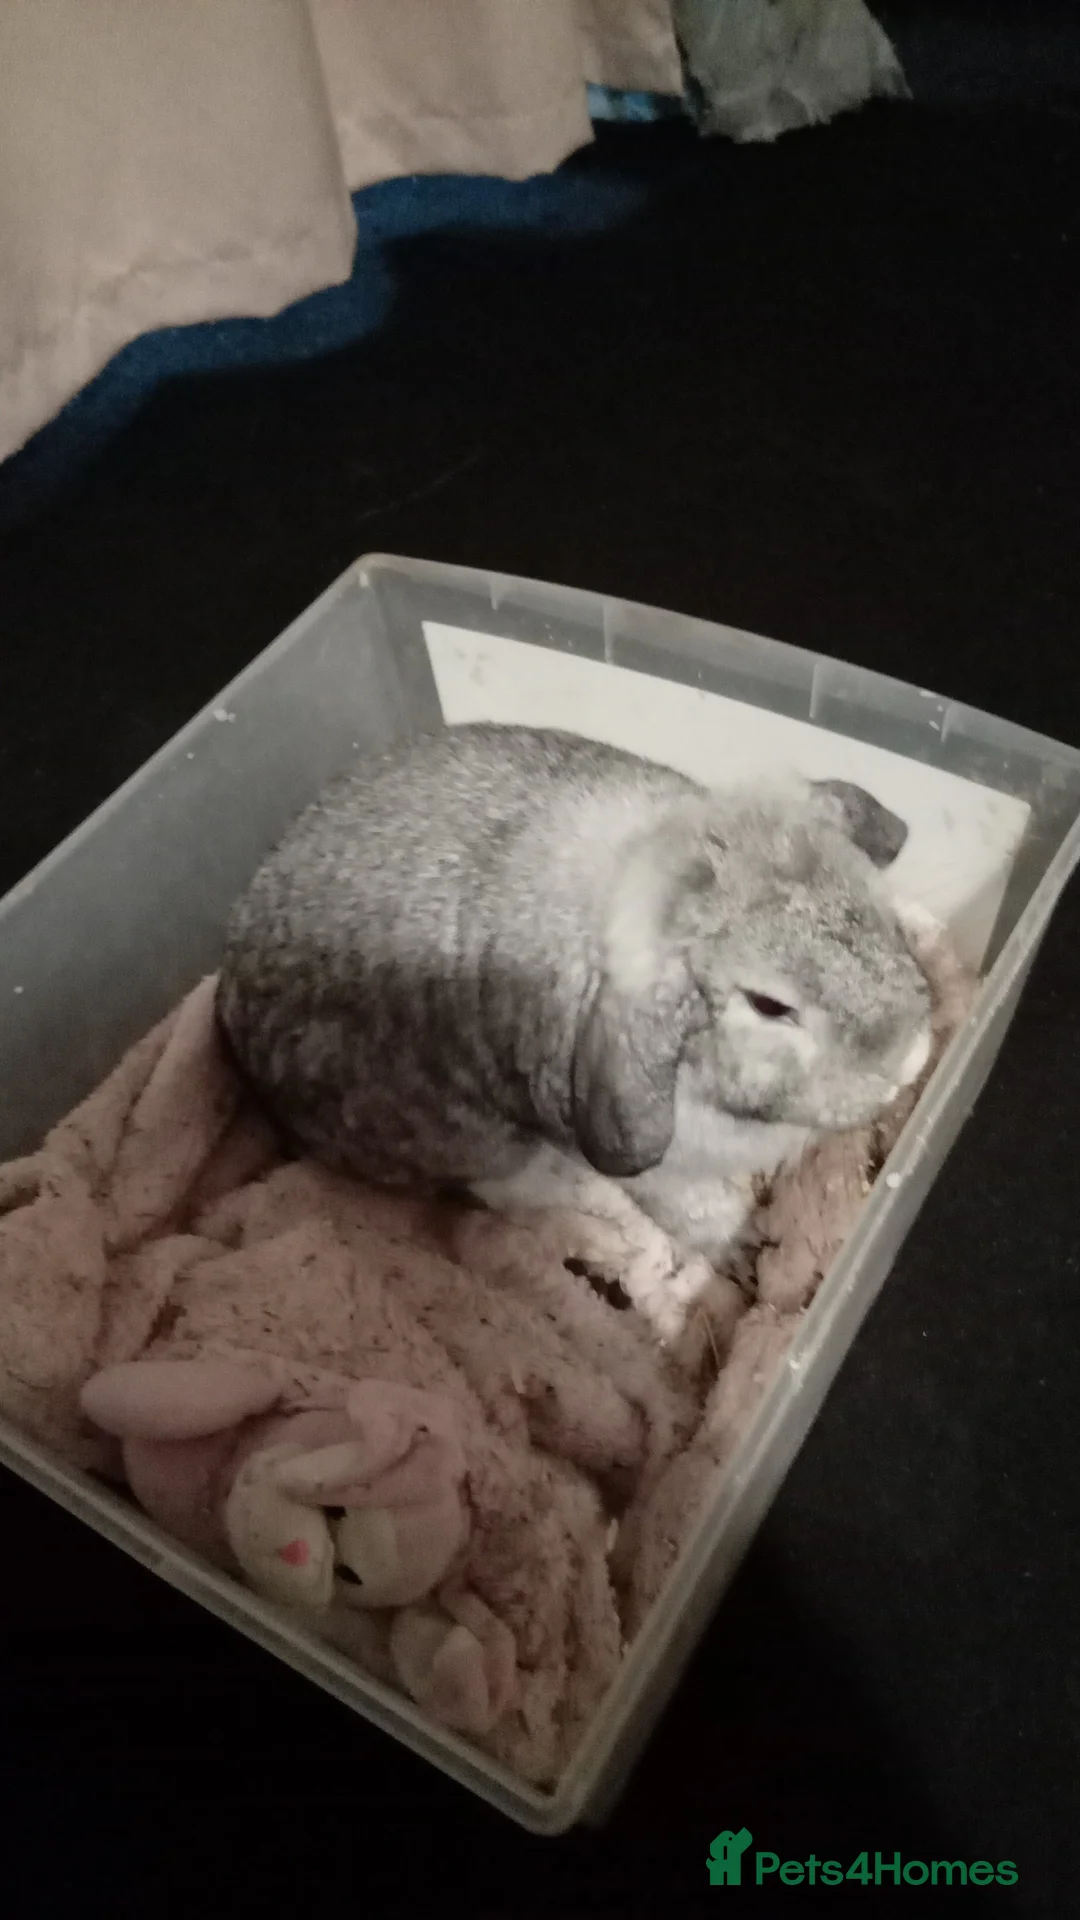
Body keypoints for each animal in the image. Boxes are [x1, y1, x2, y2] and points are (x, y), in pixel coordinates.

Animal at [217, 724, 932, 1340]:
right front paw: (744, 1251)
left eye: (883, 916)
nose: (910, 1059)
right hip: (477, 1144)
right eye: (768, 1004)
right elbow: (706, 1214)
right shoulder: (668, 1172)